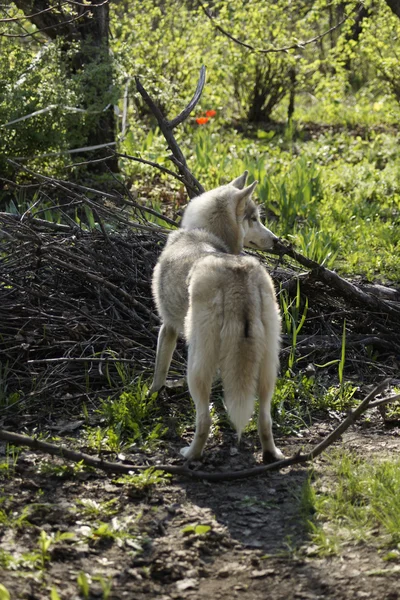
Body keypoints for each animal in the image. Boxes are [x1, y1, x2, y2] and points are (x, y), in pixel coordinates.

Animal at [150, 171, 284, 462]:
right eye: (254, 218)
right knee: (265, 420)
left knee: (204, 421)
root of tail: (237, 275)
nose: (278, 240)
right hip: (268, 369)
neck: (206, 235)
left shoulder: (167, 328)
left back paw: (190, 455)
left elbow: (159, 372)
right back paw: (271, 455)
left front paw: (151, 396)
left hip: (196, 366)